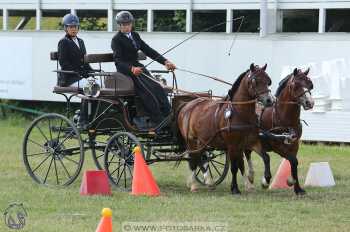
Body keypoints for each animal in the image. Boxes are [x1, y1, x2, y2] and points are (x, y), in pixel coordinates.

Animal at [178, 63, 274, 194]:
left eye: (268, 80)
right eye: (255, 81)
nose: (269, 100)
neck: (241, 113)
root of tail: (187, 105)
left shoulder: (250, 142)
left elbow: (264, 158)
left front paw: (264, 181)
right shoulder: (232, 145)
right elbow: (234, 167)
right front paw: (235, 188)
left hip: (202, 141)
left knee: (201, 158)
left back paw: (208, 182)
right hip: (192, 141)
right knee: (194, 159)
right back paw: (193, 185)